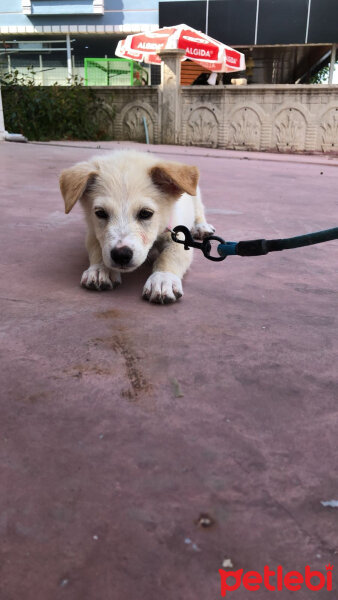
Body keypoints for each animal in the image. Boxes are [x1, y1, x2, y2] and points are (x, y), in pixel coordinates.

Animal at [59, 148, 214, 302]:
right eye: (100, 213)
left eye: (146, 213)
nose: (121, 255)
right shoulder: (93, 232)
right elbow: (97, 249)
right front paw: (100, 269)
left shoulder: (179, 238)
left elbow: (170, 256)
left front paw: (163, 278)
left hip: (196, 197)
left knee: (199, 211)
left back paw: (202, 227)